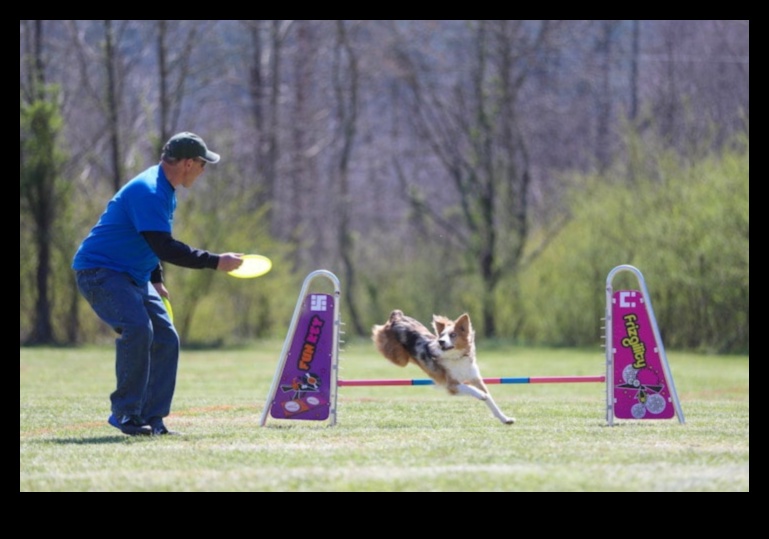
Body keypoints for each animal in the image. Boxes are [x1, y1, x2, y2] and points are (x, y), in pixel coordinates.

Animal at [374, 310, 516, 424]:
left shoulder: (475, 378)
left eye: (453, 335)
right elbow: (470, 388)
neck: (457, 357)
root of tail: (397, 317)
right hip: (399, 358)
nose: (440, 342)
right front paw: (480, 395)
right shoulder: (451, 384)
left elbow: (490, 400)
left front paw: (505, 418)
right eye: (442, 336)